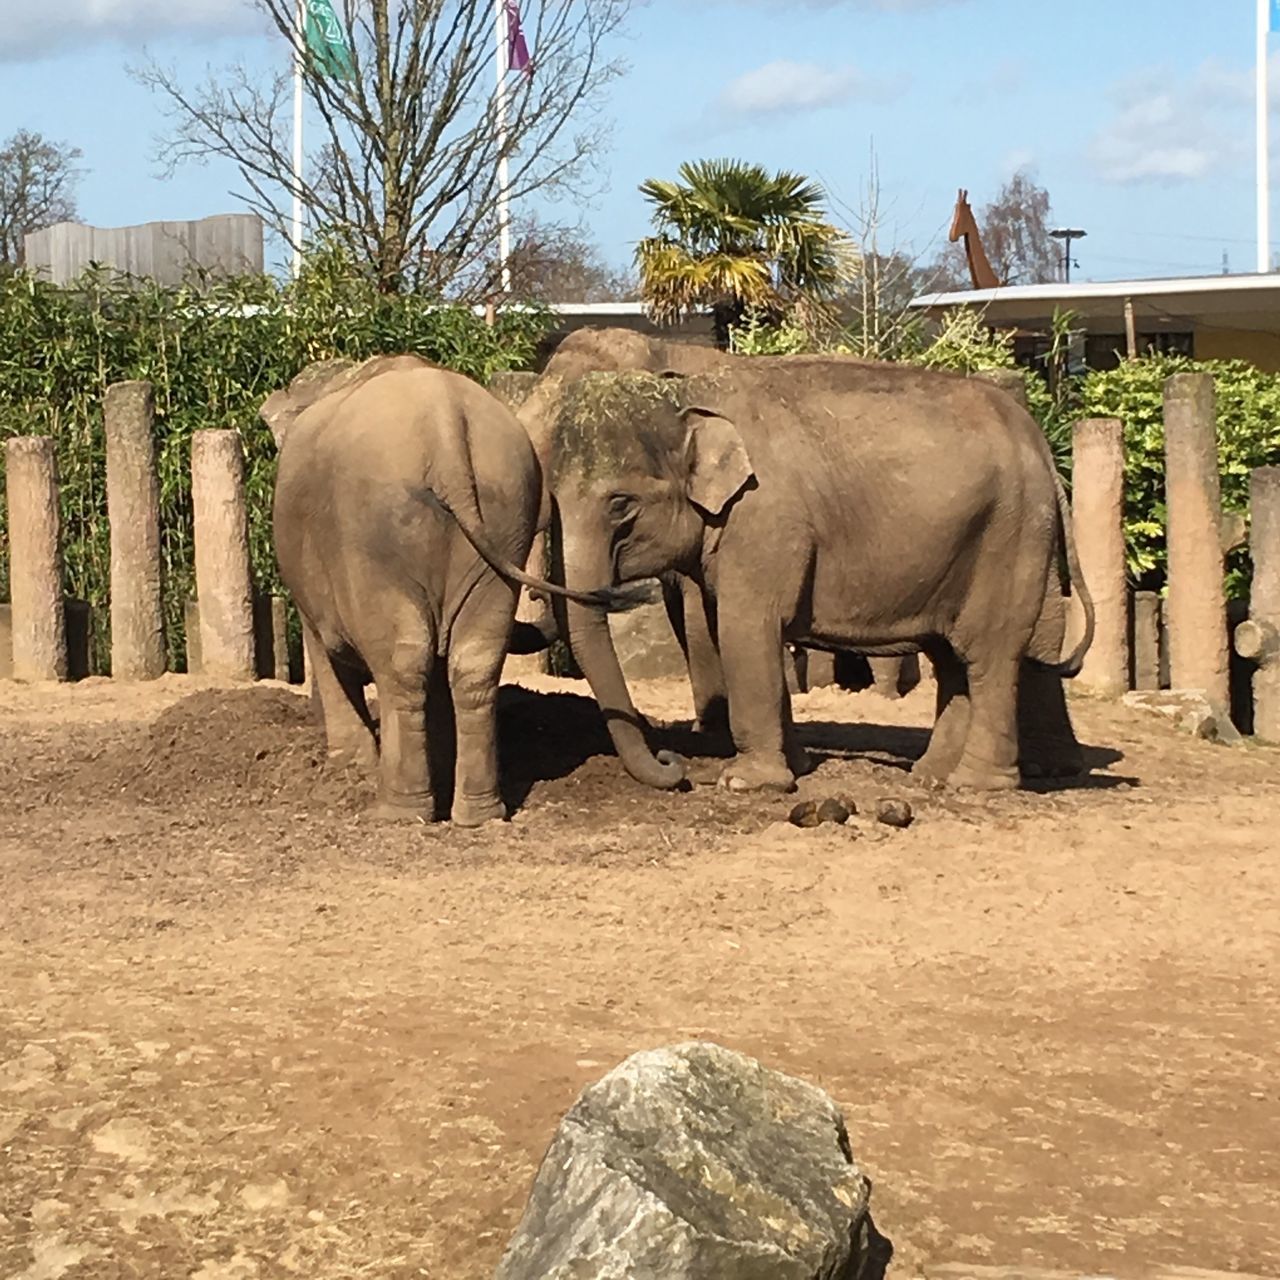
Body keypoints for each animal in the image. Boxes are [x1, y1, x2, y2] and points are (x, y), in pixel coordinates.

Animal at [263, 355, 640, 824]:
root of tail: (444, 428)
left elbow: (327, 651)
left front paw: (350, 766)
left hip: (375, 539)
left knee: (404, 661)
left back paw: (398, 811)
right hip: (503, 513)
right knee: (473, 661)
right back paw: (479, 812)